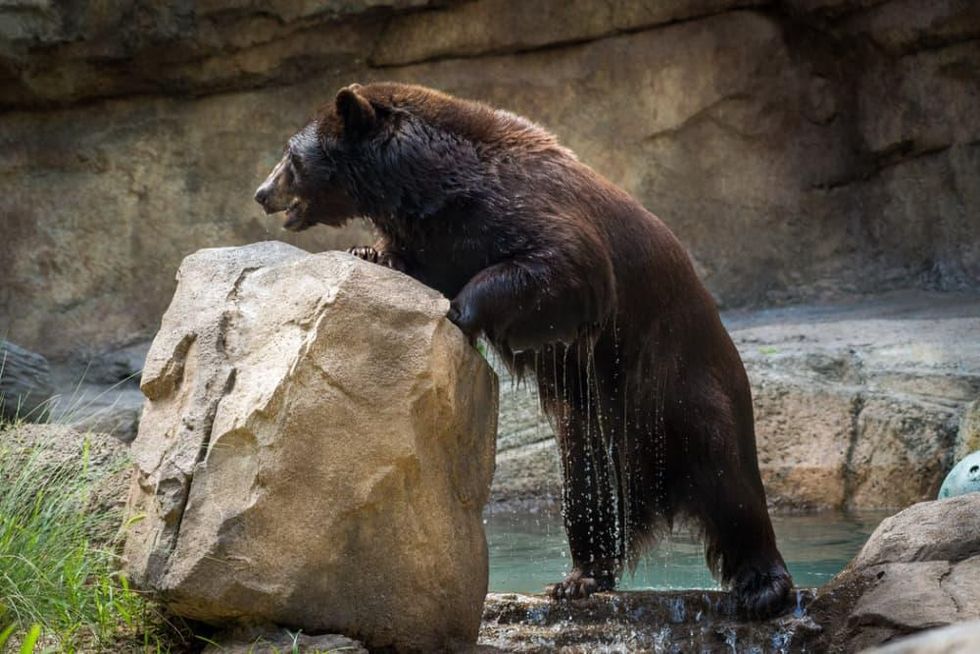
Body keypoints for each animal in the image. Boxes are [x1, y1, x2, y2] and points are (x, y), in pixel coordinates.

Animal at [254, 82, 793, 617]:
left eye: (290, 155)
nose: (262, 192)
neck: (433, 185)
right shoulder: (436, 236)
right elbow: (414, 262)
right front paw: (367, 251)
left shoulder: (525, 211)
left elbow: (559, 264)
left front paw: (459, 311)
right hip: (592, 422)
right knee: (589, 487)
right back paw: (580, 577)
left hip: (682, 380)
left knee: (728, 477)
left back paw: (764, 585)